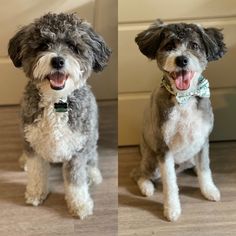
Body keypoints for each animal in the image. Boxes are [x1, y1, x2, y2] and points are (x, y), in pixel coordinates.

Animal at [7, 12, 110, 219]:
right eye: (43, 45)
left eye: (73, 47)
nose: (58, 61)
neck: (56, 102)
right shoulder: (33, 143)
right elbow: (37, 172)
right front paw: (36, 193)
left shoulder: (78, 149)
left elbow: (75, 180)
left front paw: (80, 204)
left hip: (92, 138)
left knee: (92, 155)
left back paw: (93, 173)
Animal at [133, 19, 227, 221]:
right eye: (169, 46)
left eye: (194, 46)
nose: (182, 60)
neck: (185, 98)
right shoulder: (164, 149)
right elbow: (170, 183)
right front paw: (172, 208)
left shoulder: (203, 140)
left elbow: (205, 168)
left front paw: (208, 189)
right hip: (152, 161)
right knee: (139, 174)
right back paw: (146, 186)